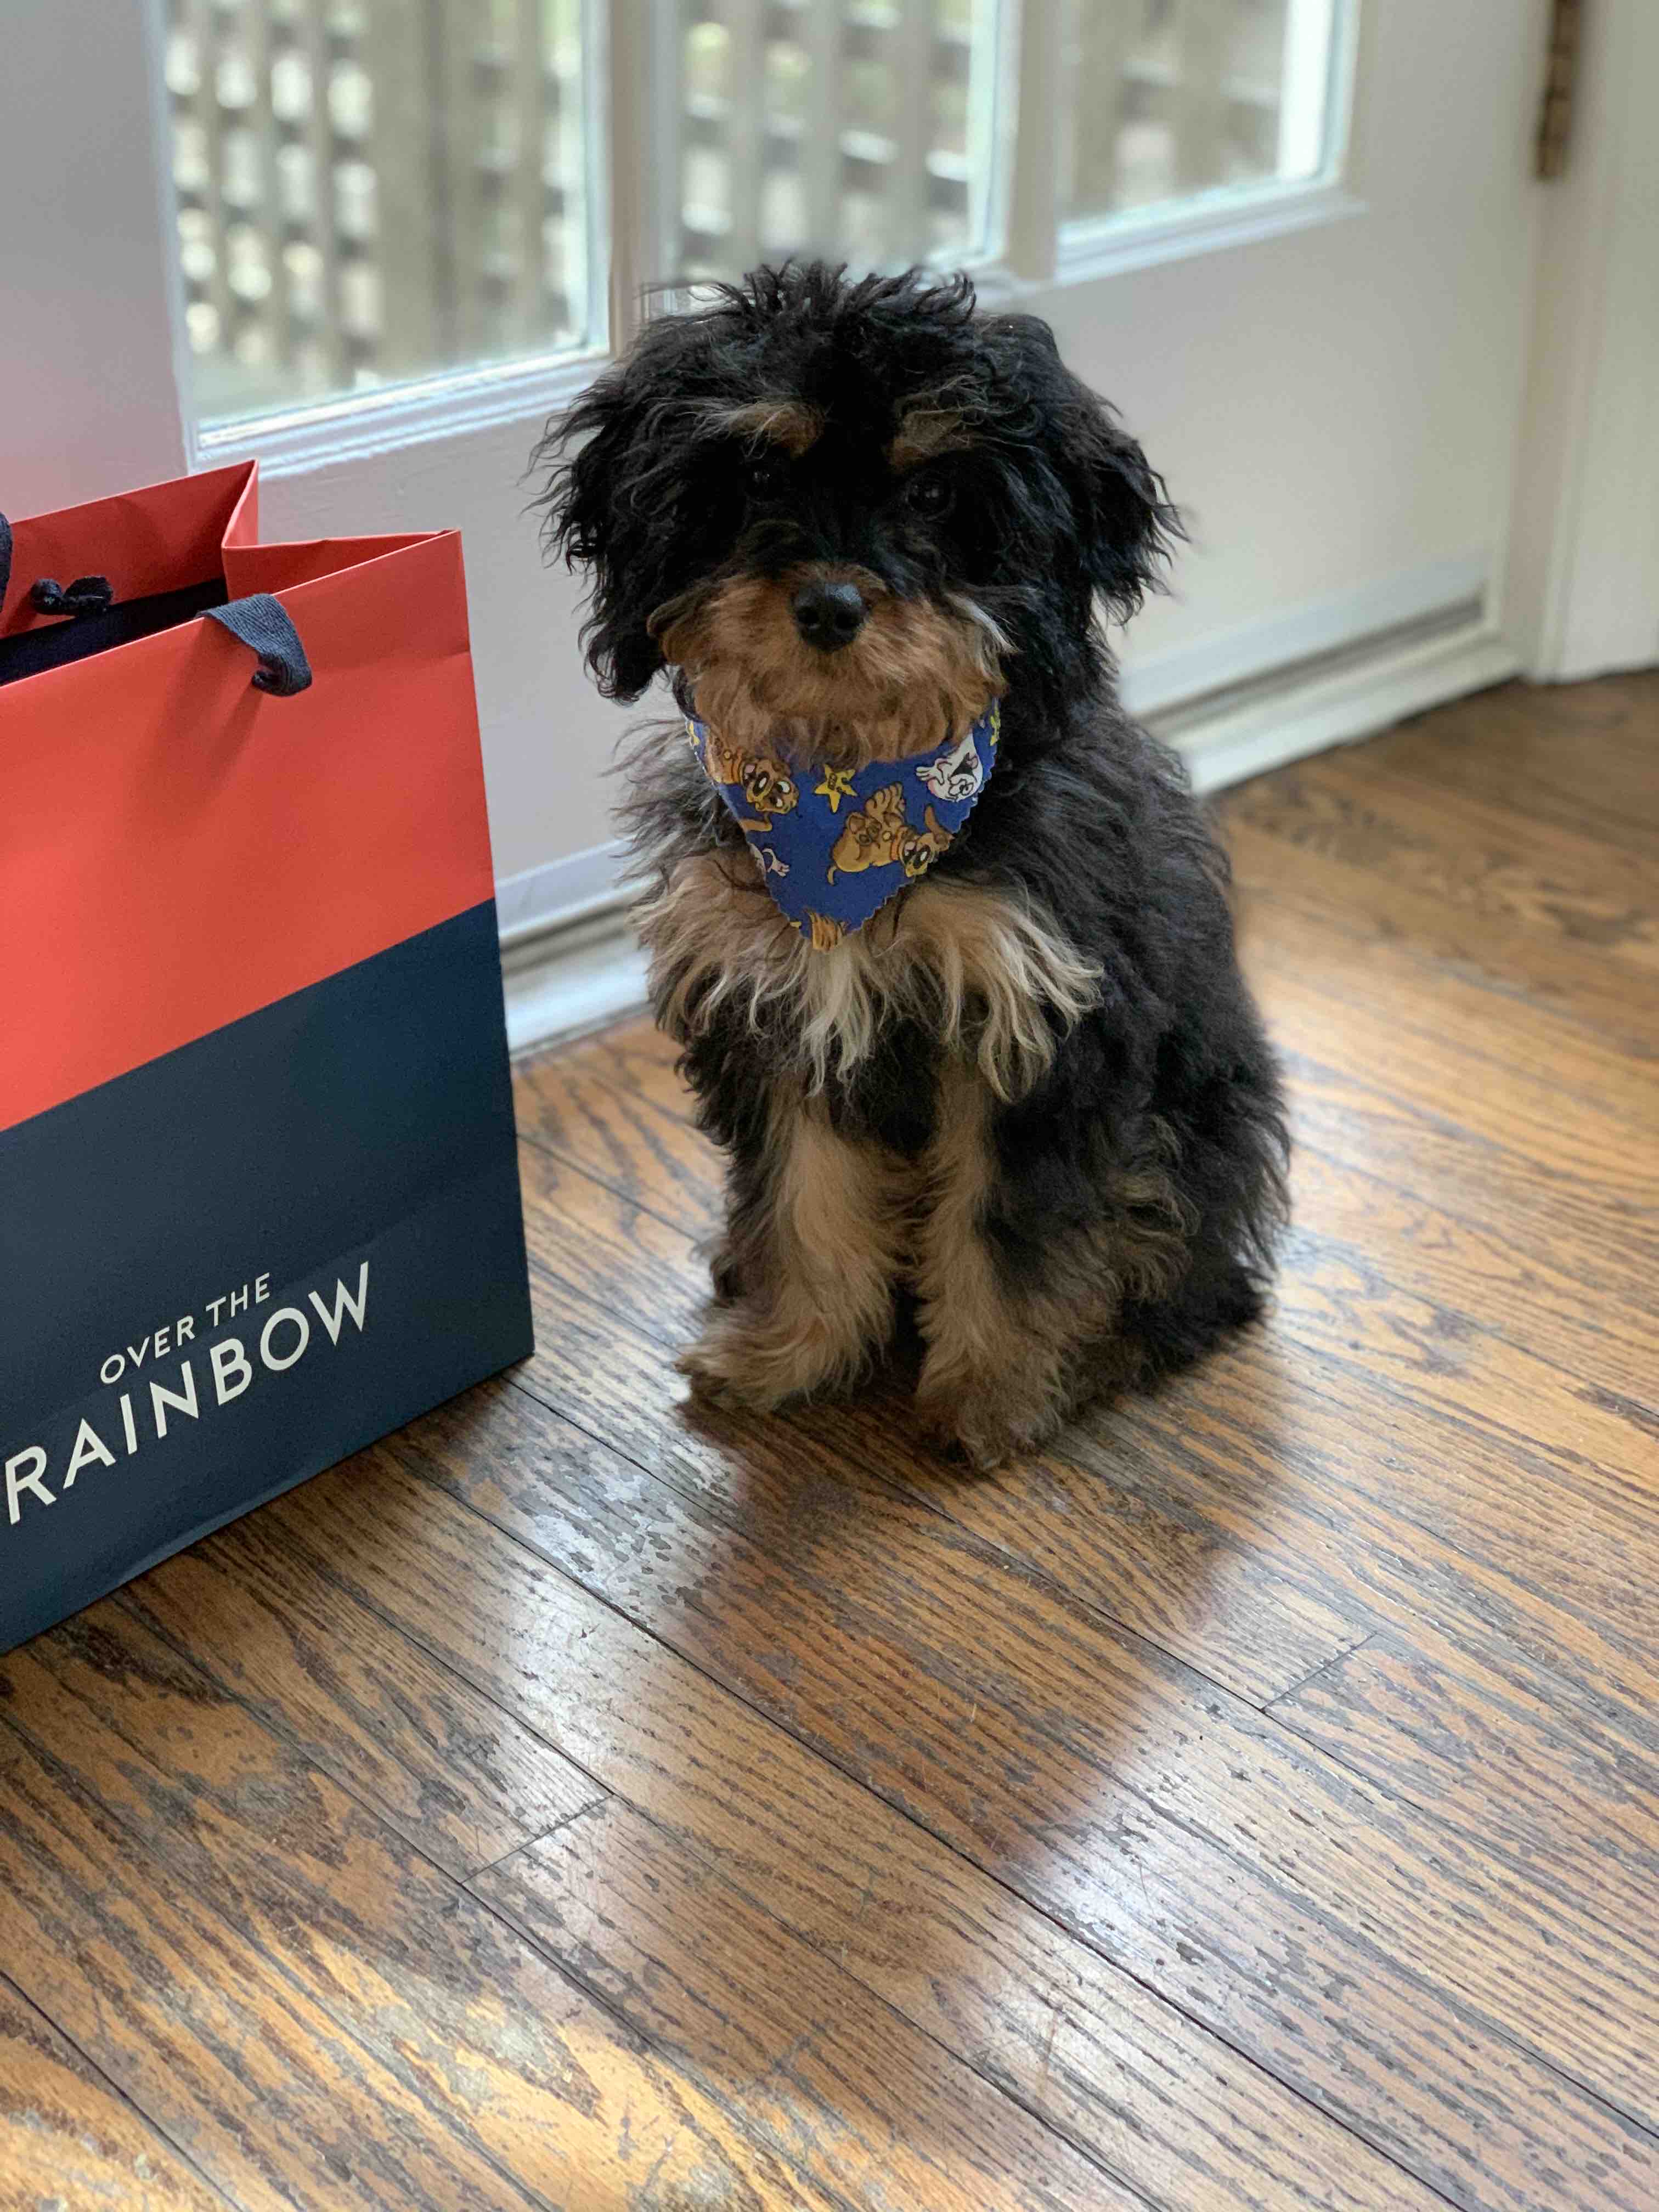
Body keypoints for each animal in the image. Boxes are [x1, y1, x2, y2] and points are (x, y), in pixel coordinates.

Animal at [539, 263, 1288, 1468]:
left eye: (935, 494)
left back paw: (1109, 1342)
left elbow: (1005, 1226)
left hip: (1188, 1129)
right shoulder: (780, 1009)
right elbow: (804, 1201)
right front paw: (791, 1351)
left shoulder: (1034, 1025)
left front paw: (992, 1392)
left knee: (1185, 1265)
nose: (829, 606)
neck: (851, 796)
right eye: (760, 471)